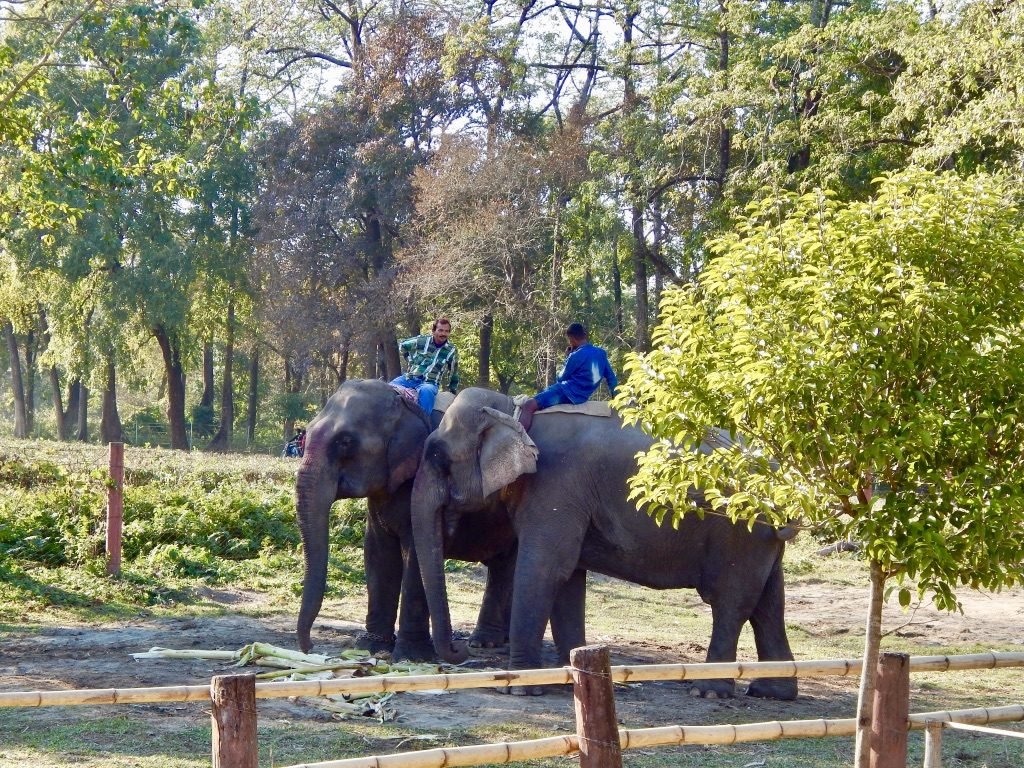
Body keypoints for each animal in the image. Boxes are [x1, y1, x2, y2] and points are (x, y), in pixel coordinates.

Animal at [296, 378, 520, 663]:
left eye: (345, 441)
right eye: (306, 434)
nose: (310, 647)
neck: (405, 404)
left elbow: (414, 556)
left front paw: (411, 656)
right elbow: (378, 554)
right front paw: (371, 647)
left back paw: (485, 643)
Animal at [411, 387, 794, 700]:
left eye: (439, 459)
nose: (462, 650)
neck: (513, 411)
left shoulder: (555, 486)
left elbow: (546, 569)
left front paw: (521, 689)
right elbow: (568, 579)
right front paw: (573, 677)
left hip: (738, 530)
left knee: (730, 601)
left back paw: (709, 691)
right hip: (760, 537)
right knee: (768, 603)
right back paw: (771, 691)